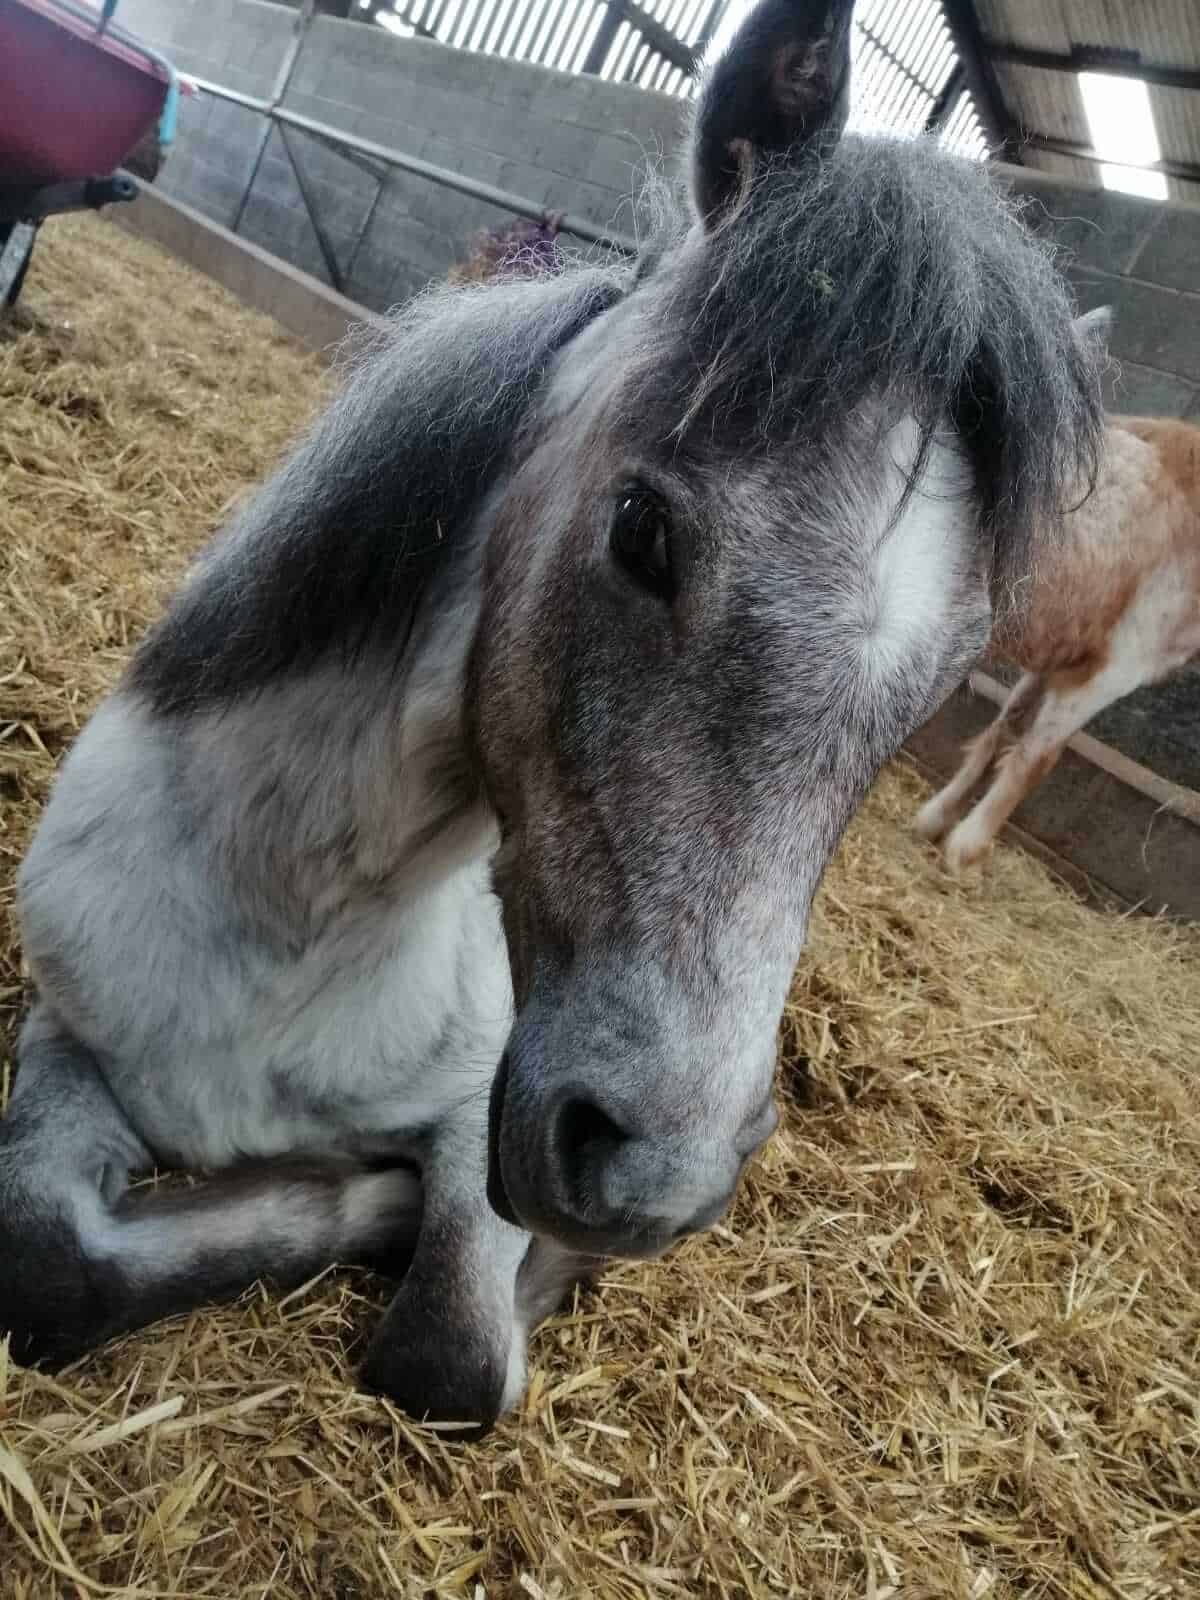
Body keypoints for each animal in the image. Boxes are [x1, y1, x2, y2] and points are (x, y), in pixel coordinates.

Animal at [0, 0, 1106, 1431]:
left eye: (941, 678)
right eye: (642, 530)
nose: (652, 1183)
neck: (293, 928)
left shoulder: (486, 1108)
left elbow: (456, 1356)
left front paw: (423, 1224)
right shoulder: (70, 1030)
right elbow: (50, 1255)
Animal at [915, 413, 1200, 872]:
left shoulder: (1059, 656)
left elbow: (1006, 725)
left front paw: (937, 817)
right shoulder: (1114, 669)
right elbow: (1037, 757)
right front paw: (966, 846)